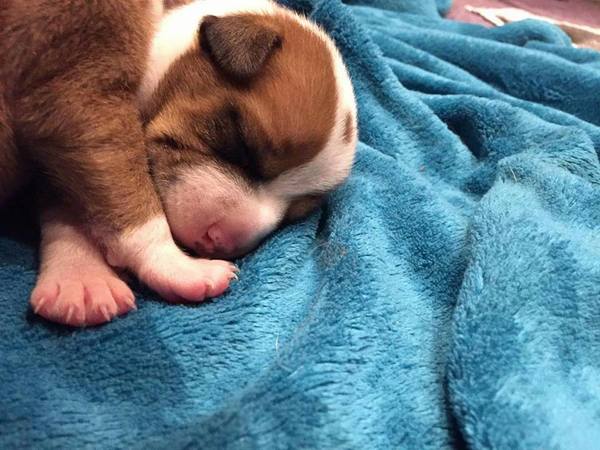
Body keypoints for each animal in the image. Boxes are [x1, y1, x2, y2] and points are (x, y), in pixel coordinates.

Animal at [0, 0, 356, 326]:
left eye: (294, 213)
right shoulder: (78, 97)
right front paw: (172, 266)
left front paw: (82, 278)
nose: (220, 240)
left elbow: (70, 203)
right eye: (241, 146)